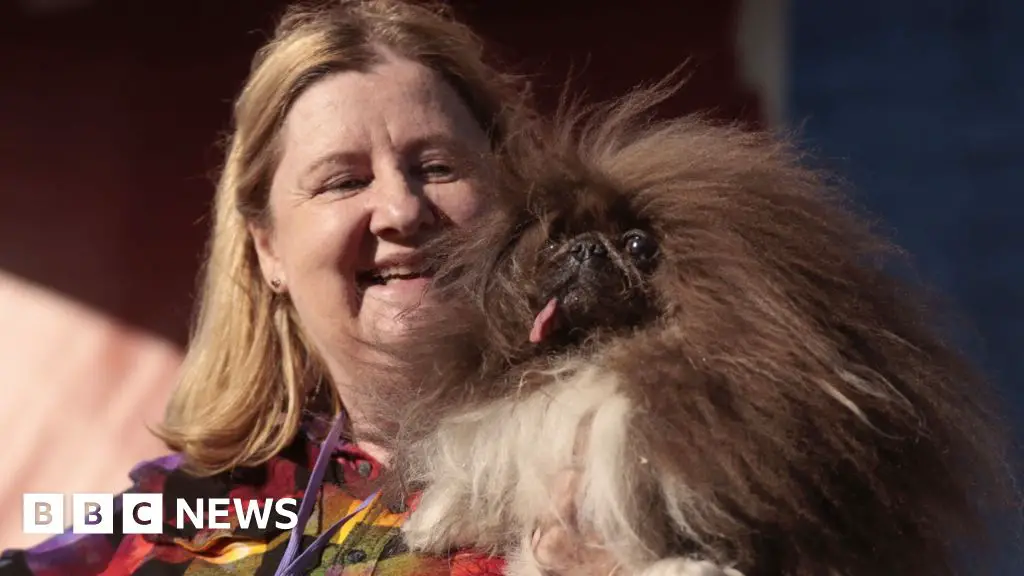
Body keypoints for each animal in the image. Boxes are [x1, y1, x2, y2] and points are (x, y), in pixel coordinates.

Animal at [364, 81, 1011, 573]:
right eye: (554, 240)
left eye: (637, 245)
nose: (585, 249)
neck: (601, 353)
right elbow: (483, 469)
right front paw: (432, 521)